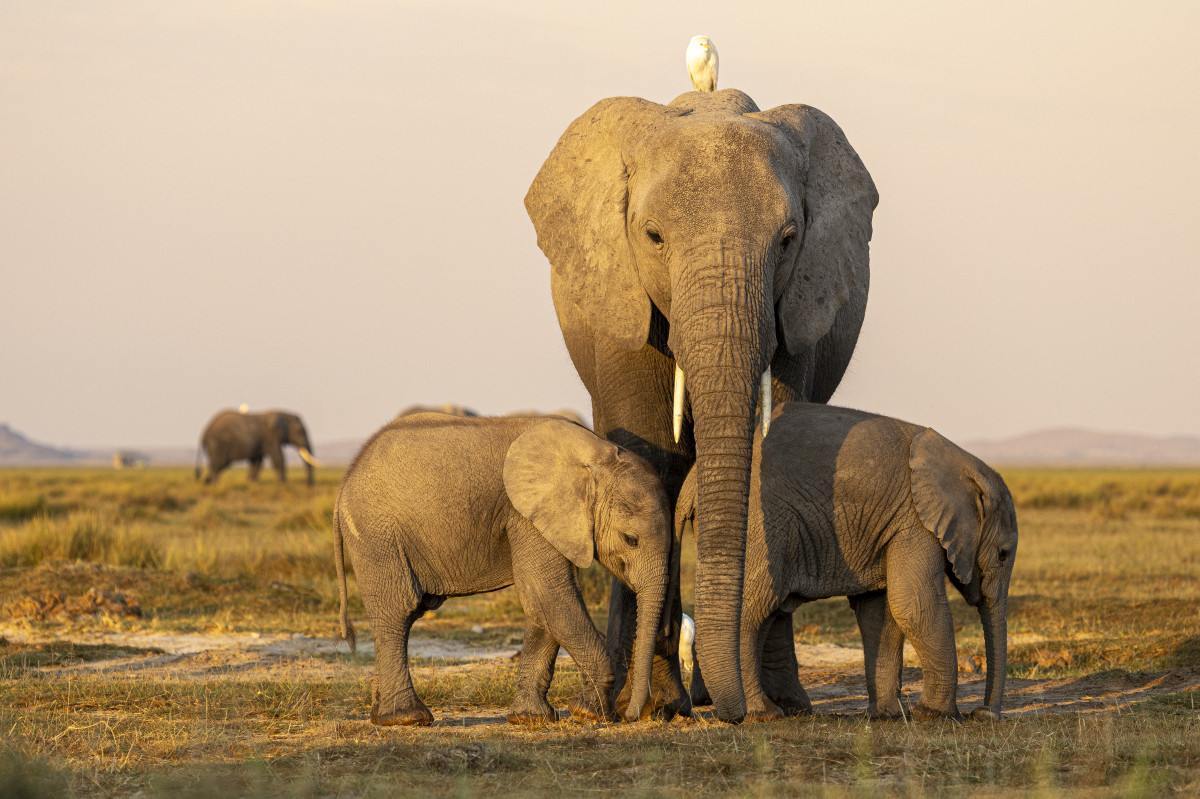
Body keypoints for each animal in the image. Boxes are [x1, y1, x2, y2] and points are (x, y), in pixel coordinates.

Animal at [332, 413, 672, 726]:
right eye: (630, 540)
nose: (632, 715)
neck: (595, 454)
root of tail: (346, 481)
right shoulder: (527, 517)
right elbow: (550, 594)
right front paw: (588, 713)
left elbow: (541, 604)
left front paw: (532, 719)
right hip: (377, 534)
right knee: (399, 610)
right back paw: (408, 718)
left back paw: (381, 715)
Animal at [525, 87, 878, 720]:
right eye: (653, 237)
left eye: (788, 239)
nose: (744, 712)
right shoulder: (621, 304)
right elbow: (653, 462)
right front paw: (658, 708)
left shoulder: (799, 312)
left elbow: (775, 449)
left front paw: (778, 706)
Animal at [678, 403, 1018, 721]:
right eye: (1003, 554)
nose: (983, 713)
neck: (963, 465)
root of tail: (691, 482)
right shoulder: (914, 522)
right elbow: (914, 604)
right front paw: (938, 715)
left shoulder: (888, 525)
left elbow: (881, 612)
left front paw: (888, 716)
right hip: (762, 528)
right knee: (753, 611)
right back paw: (763, 713)